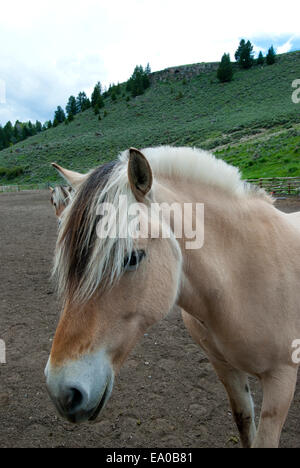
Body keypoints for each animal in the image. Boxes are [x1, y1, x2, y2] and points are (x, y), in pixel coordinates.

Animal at [44, 147, 300, 450]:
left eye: (132, 258)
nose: (62, 392)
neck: (242, 278)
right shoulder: (225, 368)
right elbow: (244, 422)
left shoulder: (281, 380)